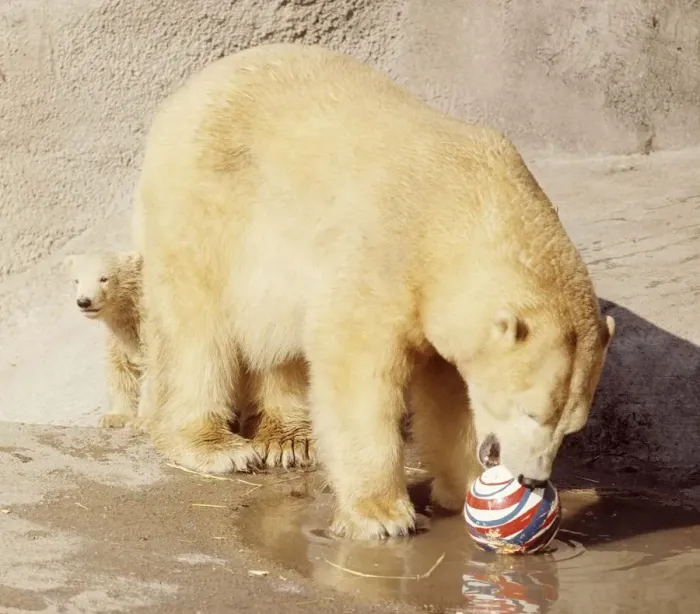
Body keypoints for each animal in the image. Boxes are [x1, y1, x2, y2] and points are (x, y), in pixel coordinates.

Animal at [65, 250, 144, 429]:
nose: (84, 302)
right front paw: (115, 417)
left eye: (104, 278)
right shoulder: (118, 340)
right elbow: (121, 371)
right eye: (77, 280)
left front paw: (142, 421)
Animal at [132, 42, 615, 540]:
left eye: (570, 427)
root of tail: (191, 88)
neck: (459, 206)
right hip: (208, 201)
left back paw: (290, 438)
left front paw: (463, 486)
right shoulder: (382, 255)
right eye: (532, 413)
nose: (531, 479)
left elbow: (449, 392)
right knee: (195, 326)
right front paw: (381, 515)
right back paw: (213, 444)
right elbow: (358, 371)